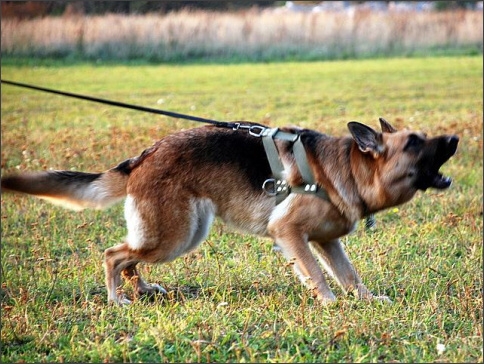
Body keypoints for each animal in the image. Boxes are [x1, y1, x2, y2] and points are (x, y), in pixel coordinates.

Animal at [1, 117, 460, 304]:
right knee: (114, 255)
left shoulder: (328, 242)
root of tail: (141, 158)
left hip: (177, 234)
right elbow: (316, 274)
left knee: (130, 257)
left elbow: (350, 275)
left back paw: (143, 290)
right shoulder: (290, 234)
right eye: (414, 143)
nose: (455, 138)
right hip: (176, 235)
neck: (348, 168)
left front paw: (365, 300)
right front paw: (330, 304)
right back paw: (118, 300)